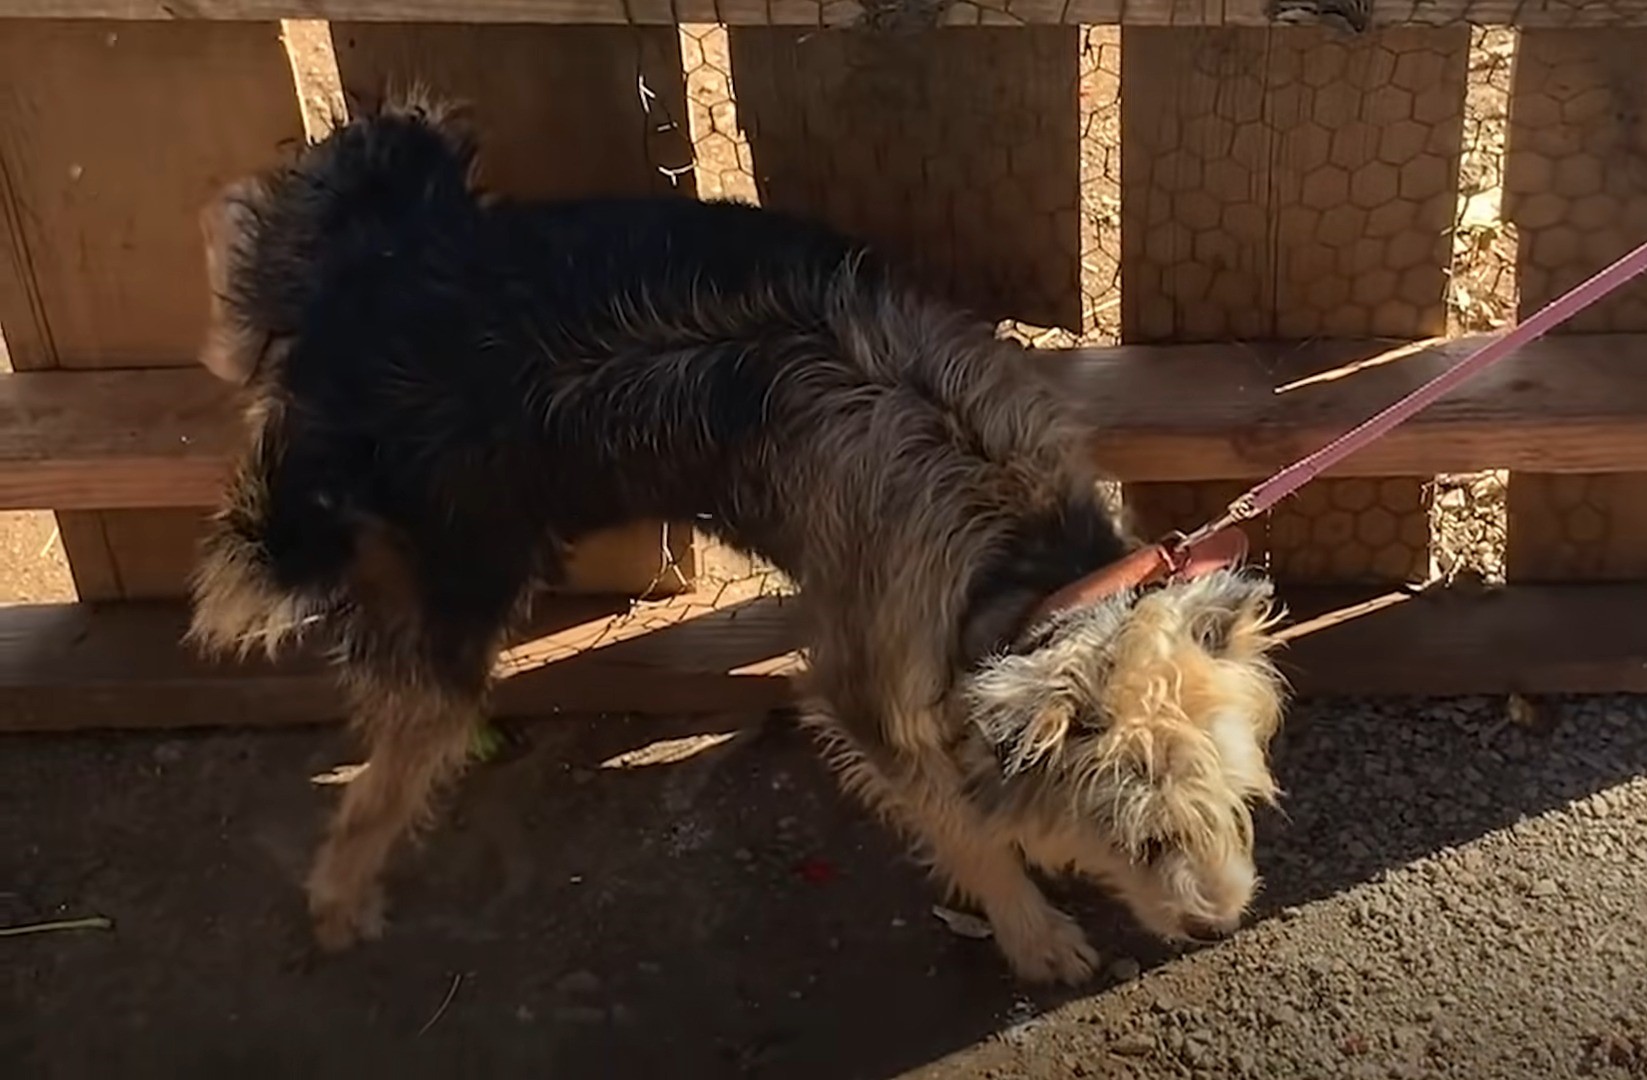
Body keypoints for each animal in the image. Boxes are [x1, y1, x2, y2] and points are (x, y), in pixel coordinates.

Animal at [183, 97, 1284, 981]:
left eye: (1236, 804)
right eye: (1143, 841)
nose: (1220, 922)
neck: (1018, 550)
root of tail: (369, 280)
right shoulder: (865, 685)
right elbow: (965, 823)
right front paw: (1032, 929)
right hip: (445, 582)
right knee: (386, 760)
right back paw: (341, 895)